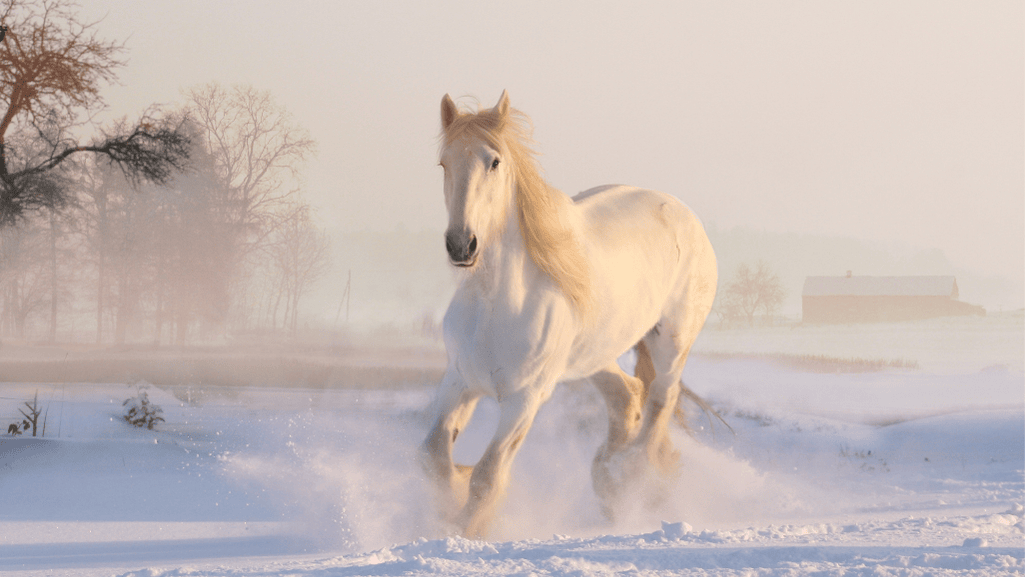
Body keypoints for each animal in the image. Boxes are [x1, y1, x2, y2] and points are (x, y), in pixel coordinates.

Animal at [420, 90, 718, 538]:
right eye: (444, 163)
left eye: (494, 162)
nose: (461, 245)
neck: (495, 305)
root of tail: (685, 214)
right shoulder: (459, 380)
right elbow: (435, 457)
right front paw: (449, 505)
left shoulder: (525, 399)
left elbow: (487, 476)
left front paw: (468, 530)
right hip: (593, 356)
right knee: (627, 396)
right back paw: (609, 481)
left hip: (671, 342)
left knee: (660, 401)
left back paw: (632, 480)